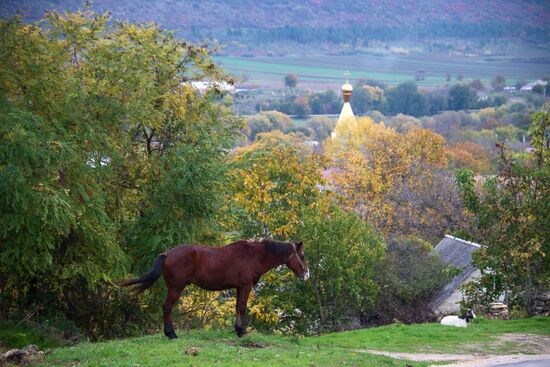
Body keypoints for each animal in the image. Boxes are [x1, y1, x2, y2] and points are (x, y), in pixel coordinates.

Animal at [122, 239, 310, 340]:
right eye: (302, 255)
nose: (306, 274)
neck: (254, 255)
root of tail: (167, 253)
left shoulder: (239, 288)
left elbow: (238, 308)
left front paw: (238, 330)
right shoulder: (245, 286)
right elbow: (242, 307)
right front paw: (242, 332)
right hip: (176, 288)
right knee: (167, 307)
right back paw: (172, 334)